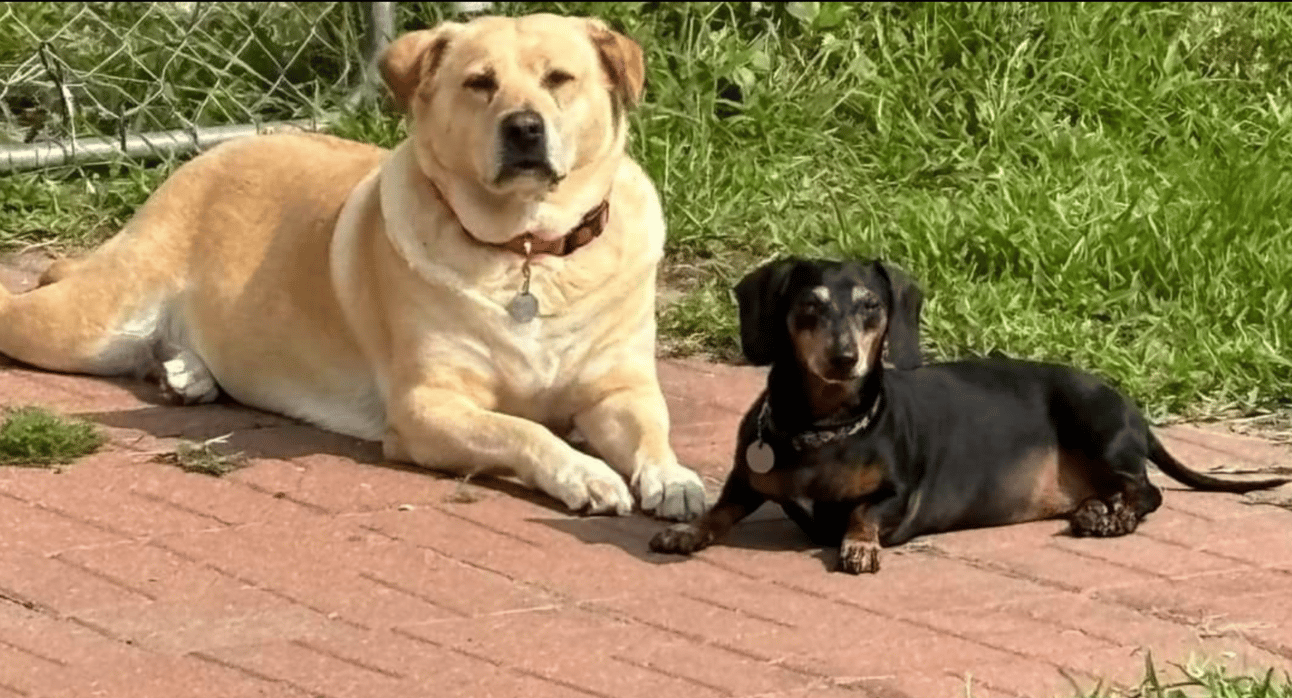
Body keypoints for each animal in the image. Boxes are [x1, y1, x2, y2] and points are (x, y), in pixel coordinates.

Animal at [0, 13, 707, 521]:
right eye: (479, 83)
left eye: (560, 78)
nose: (525, 127)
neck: (527, 252)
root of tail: (205, 156)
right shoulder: (427, 408)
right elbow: (525, 433)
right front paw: (585, 473)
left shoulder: (620, 389)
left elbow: (652, 431)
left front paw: (674, 479)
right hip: (87, 324)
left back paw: (187, 374)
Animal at [650, 258, 1290, 572]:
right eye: (810, 305)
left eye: (871, 307)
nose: (844, 359)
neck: (824, 430)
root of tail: (1131, 408)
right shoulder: (746, 478)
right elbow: (721, 509)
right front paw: (686, 531)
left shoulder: (898, 496)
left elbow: (863, 512)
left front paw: (859, 546)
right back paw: (1095, 509)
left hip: (1097, 428)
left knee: (1147, 492)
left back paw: (1110, 518)